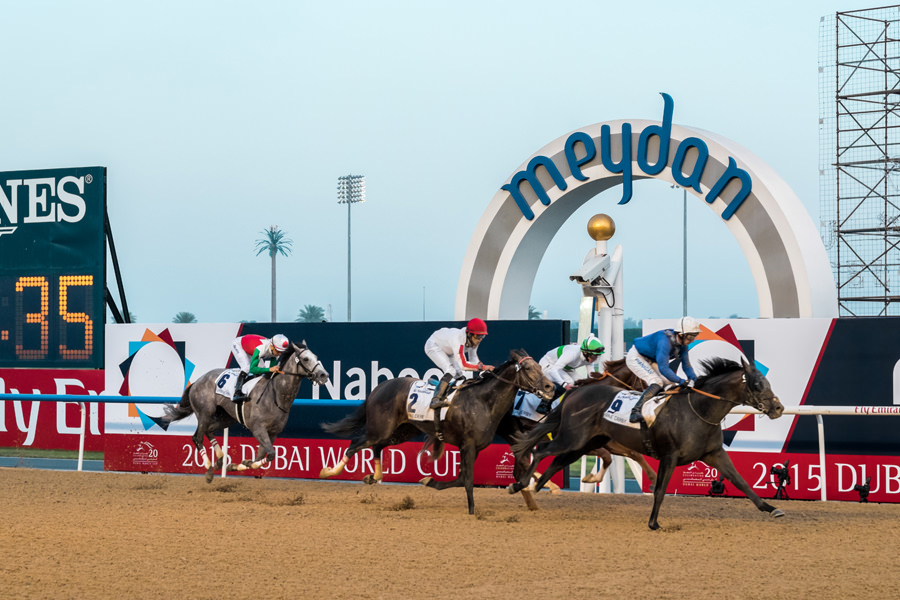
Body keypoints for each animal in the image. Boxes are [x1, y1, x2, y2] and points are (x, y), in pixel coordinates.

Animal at [155, 342, 330, 482]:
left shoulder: (273, 432)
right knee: (197, 437)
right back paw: (210, 469)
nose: (324, 375)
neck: (276, 395)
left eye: (316, 356)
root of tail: (197, 381)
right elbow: (270, 455)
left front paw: (236, 465)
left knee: (209, 431)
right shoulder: (258, 429)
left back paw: (220, 460)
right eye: (306, 359)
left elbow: (260, 458)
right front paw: (237, 465)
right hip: (205, 412)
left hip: (227, 417)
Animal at [320, 352, 552, 516]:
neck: (483, 401)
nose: (550, 386)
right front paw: (472, 510)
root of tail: (378, 388)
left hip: (401, 431)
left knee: (376, 446)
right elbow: (466, 480)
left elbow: (461, 478)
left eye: (541, 367)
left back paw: (374, 476)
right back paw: (329, 472)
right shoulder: (467, 446)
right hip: (380, 428)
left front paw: (430, 481)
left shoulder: (473, 447)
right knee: (356, 443)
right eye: (529, 368)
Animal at [512, 356, 788, 528]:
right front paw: (654, 522)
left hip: (584, 443)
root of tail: (576, 392)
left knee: (557, 460)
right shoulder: (669, 456)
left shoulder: (714, 453)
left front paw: (771, 508)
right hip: (572, 438)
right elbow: (660, 488)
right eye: (757, 384)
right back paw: (521, 485)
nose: (778, 408)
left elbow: (741, 482)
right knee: (541, 451)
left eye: (767, 382)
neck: (699, 410)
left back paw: (536, 489)